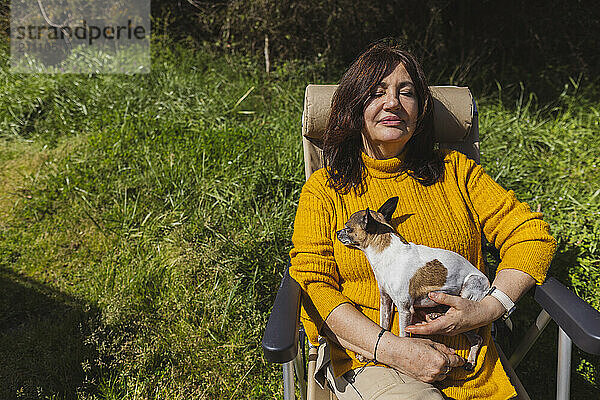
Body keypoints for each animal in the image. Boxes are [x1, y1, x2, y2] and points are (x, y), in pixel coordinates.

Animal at [336, 196, 490, 368]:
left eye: (348, 228)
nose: (337, 232)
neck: (385, 253)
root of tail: (489, 285)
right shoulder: (386, 301)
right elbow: (383, 327)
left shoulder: (405, 309)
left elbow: (403, 336)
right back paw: (437, 315)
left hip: (470, 289)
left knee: (476, 336)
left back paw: (470, 359)